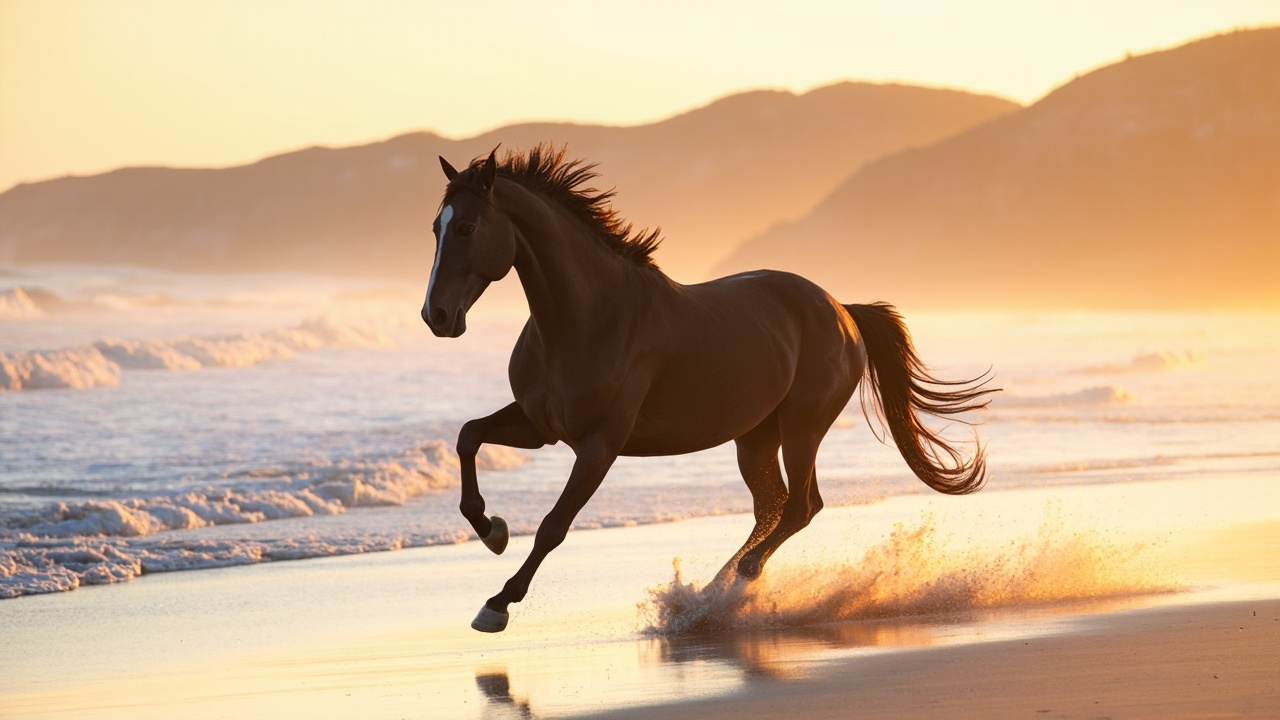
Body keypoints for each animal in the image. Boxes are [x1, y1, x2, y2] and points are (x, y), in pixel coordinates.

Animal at [422, 145, 995, 633]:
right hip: (756, 437)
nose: (437, 316)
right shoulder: (540, 425)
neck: (586, 319)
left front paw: (496, 605)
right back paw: (712, 592)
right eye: (435, 227)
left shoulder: (600, 445)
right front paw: (492, 530)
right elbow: (468, 436)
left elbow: (553, 525)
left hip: (803, 426)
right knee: (773, 508)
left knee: (800, 507)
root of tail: (841, 310)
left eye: (468, 227)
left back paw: (730, 586)